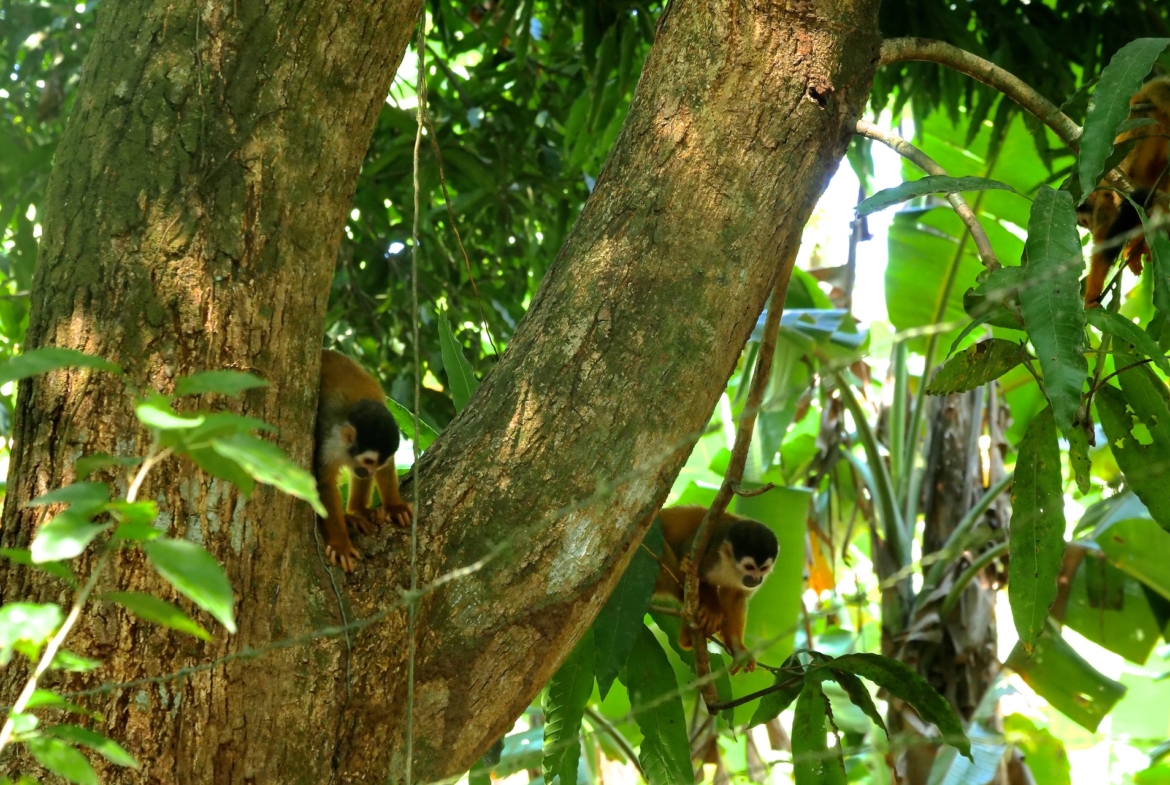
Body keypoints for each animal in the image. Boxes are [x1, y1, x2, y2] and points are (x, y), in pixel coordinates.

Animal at [315, 350, 411, 570]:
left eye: (376, 464)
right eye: (368, 462)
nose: (369, 472)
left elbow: (387, 468)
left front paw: (394, 507)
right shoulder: (327, 441)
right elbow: (323, 484)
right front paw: (341, 545)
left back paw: (358, 512)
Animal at [650, 510, 776, 673]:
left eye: (763, 569)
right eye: (749, 567)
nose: (756, 579)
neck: (730, 565)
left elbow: (735, 597)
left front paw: (738, 649)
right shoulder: (711, 549)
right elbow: (696, 570)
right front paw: (713, 611)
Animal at [1076, 75, 1170, 306]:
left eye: (1084, 222)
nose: (1088, 228)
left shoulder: (1103, 208)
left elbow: (1105, 247)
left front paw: (1091, 296)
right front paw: (1136, 250)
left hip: (1142, 122)